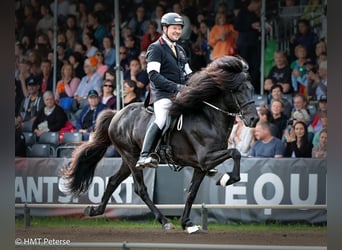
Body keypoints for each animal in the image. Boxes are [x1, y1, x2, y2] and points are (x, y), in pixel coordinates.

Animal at [62, 55, 260, 233]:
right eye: (239, 90)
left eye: (252, 89)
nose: (254, 119)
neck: (208, 118)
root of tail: (117, 114)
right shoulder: (205, 158)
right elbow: (235, 153)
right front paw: (226, 179)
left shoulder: (201, 167)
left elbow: (191, 193)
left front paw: (187, 223)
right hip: (131, 157)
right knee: (141, 189)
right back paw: (164, 221)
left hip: (128, 159)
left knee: (112, 181)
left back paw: (95, 210)